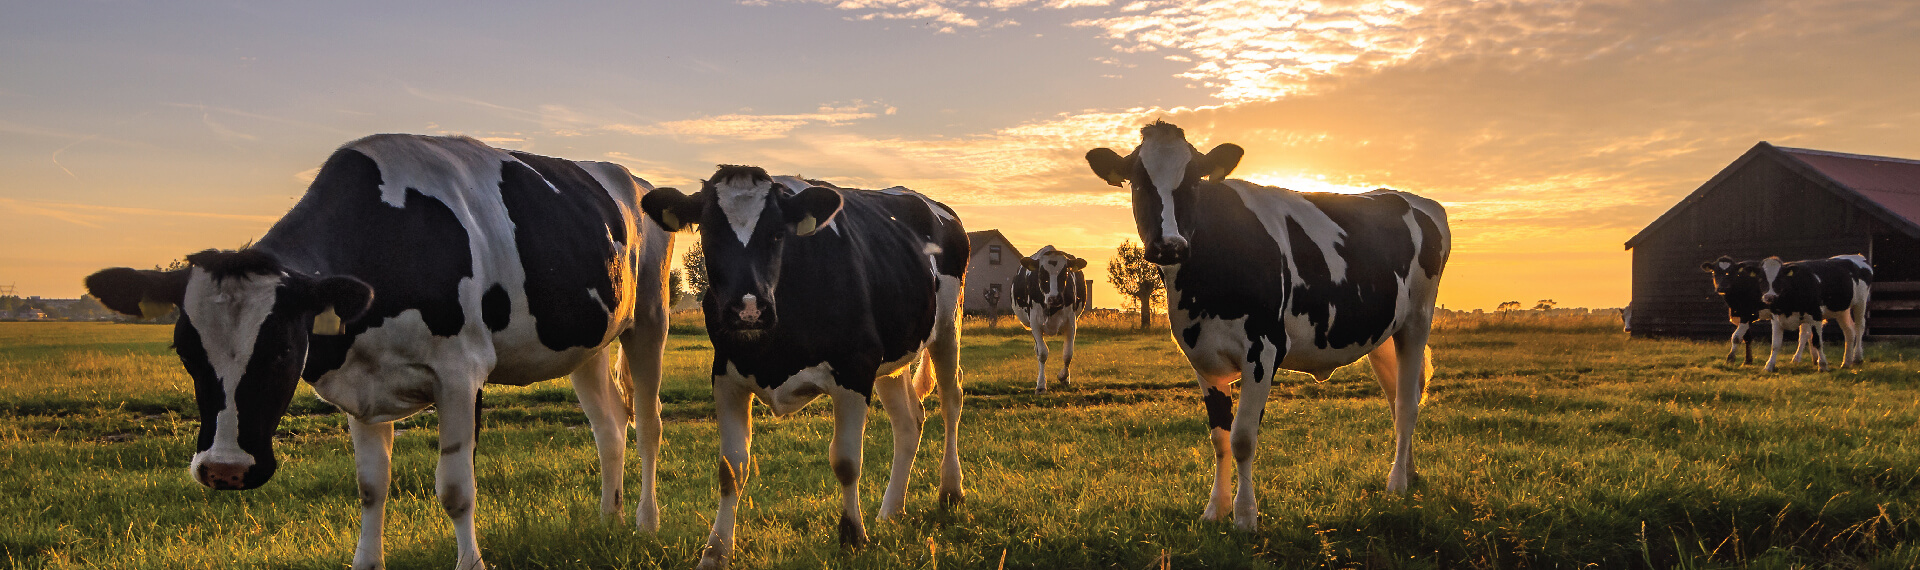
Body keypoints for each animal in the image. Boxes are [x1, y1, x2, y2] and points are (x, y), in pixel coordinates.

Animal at [80, 134, 675, 568]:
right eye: (185, 350)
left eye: (283, 348)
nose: (225, 469)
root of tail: (630, 176)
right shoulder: (360, 385)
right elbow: (371, 486)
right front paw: (366, 562)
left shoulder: (461, 373)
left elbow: (455, 488)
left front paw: (470, 564)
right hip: (588, 344)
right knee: (609, 427)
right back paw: (607, 520)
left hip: (649, 319)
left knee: (646, 422)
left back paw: (645, 523)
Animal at [641, 164, 967, 568]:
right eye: (709, 231)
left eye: (777, 233)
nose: (748, 309)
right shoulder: (727, 375)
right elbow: (731, 468)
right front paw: (715, 551)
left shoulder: (854, 369)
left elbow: (846, 460)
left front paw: (853, 537)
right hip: (892, 357)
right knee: (909, 420)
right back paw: (891, 509)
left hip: (948, 325)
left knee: (951, 400)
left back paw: (950, 490)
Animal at [1013, 241, 1090, 393]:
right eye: (1042, 273)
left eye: (1065, 272)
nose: (1054, 298)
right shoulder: (1035, 323)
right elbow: (1042, 353)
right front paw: (1041, 385)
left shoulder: (1071, 322)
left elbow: (1068, 353)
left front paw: (1063, 377)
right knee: (1038, 351)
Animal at [1090, 119, 1443, 529]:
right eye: (1137, 182)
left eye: (1194, 181)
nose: (1169, 245)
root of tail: (1414, 199)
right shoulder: (1202, 357)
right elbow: (1220, 438)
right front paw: (1215, 510)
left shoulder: (1264, 348)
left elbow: (1243, 438)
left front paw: (1245, 517)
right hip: (1384, 334)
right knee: (1398, 396)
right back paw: (1411, 473)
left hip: (1417, 321)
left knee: (1407, 404)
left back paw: (1397, 483)